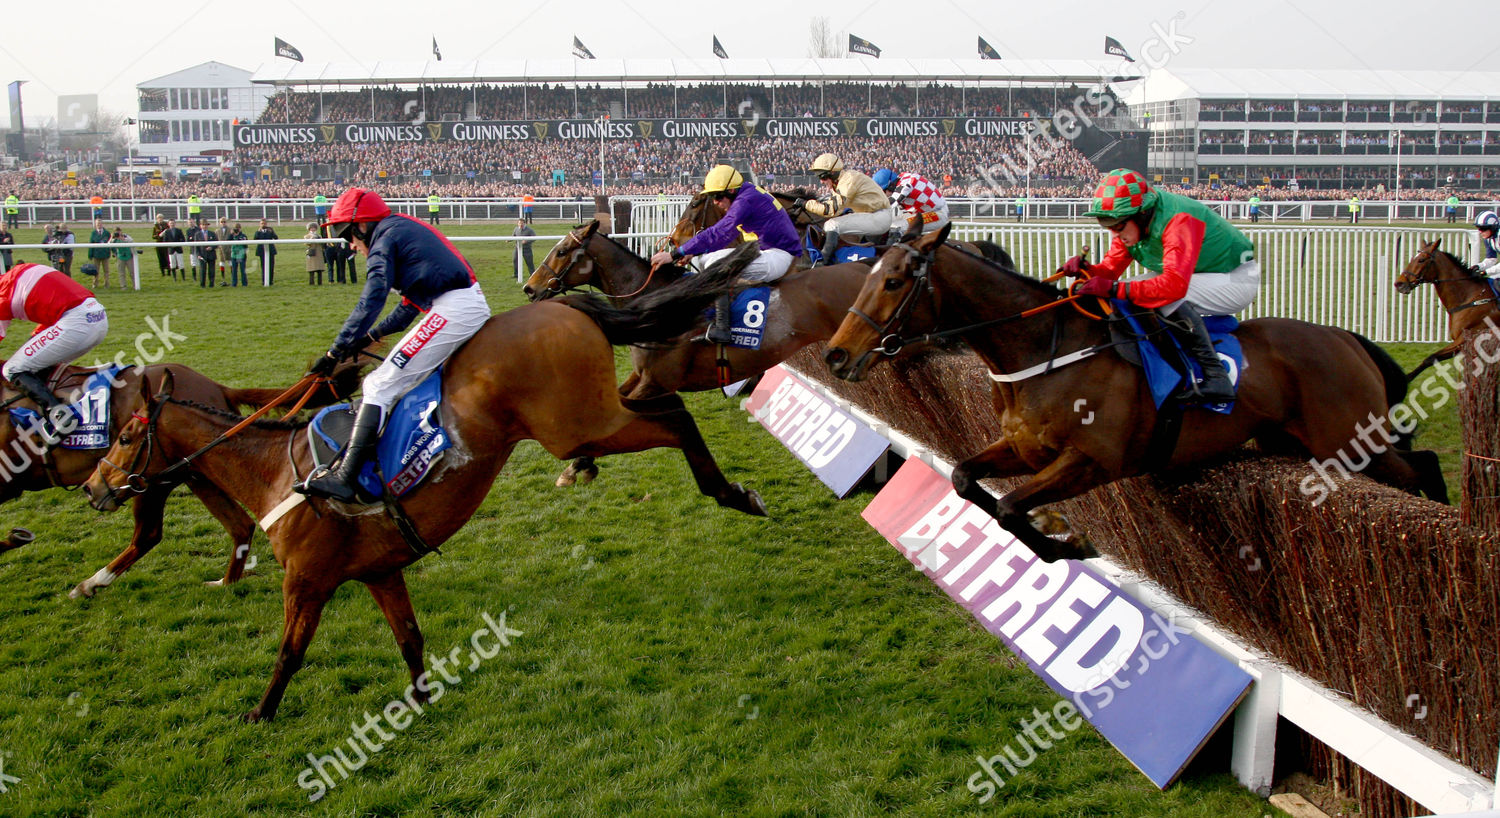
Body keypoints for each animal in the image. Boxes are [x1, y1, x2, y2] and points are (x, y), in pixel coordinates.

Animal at [0, 360, 360, 597]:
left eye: (126, 438)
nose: (91, 487)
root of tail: (217, 387)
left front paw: (16, 538)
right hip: (196, 472)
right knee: (240, 525)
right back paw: (226, 582)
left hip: (157, 480)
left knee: (148, 534)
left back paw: (92, 582)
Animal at [83, 244, 768, 720]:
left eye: (125, 435)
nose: (94, 487)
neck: (278, 473)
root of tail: (562, 304)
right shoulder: (380, 570)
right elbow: (409, 637)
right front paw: (419, 697)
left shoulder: (306, 581)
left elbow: (289, 651)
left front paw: (262, 710)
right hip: (590, 417)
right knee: (669, 409)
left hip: (577, 423)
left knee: (673, 418)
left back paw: (733, 493)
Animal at [525, 216, 870, 486]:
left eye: (562, 251)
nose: (530, 288)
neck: (662, 304)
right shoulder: (641, 374)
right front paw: (582, 463)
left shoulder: (657, 382)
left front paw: (577, 465)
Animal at [822, 223, 1452, 561]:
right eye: (869, 272)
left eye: (894, 281)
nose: (836, 355)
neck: (1042, 351)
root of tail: (1345, 337)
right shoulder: (1024, 448)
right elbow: (964, 479)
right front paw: (1061, 540)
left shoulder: (1093, 461)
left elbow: (1007, 506)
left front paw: (1070, 545)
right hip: (1299, 442)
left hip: (1348, 439)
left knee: (1421, 463)